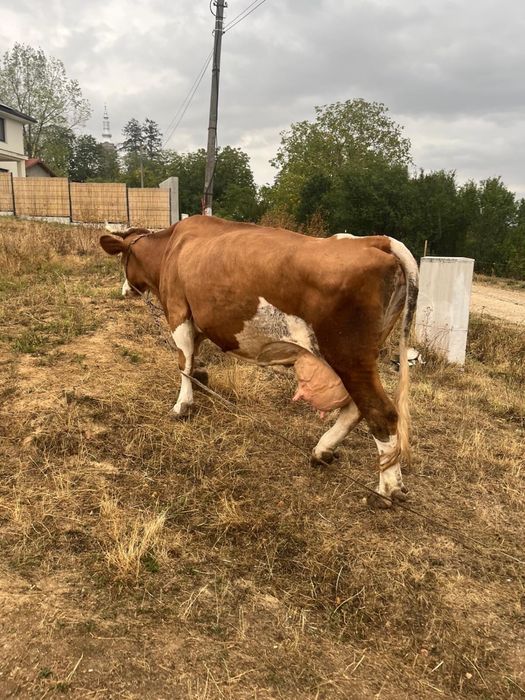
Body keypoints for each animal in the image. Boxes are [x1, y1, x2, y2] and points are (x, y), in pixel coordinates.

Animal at [100, 215, 419, 507]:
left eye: (123, 260)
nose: (124, 290)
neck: (172, 246)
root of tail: (373, 240)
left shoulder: (178, 310)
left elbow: (183, 361)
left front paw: (182, 405)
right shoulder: (199, 317)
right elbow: (194, 355)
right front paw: (201, 377)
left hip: (349, 355)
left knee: (380, 412)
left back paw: (386, 490)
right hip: (360, 357)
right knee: (357, 408)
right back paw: (323, 450)